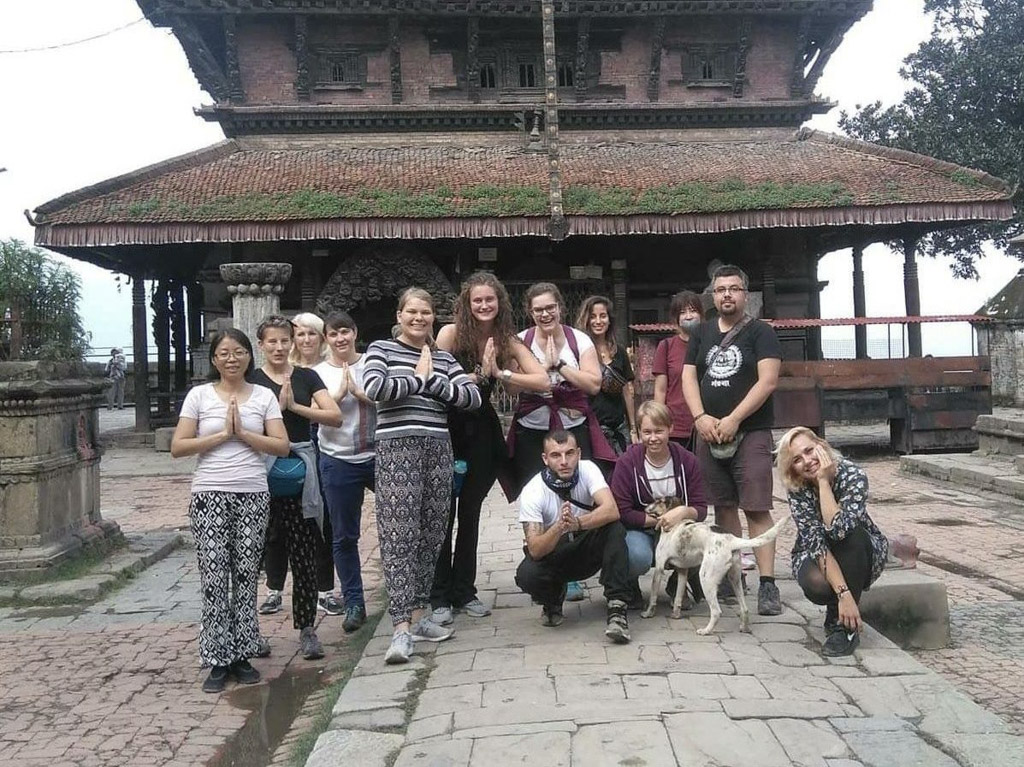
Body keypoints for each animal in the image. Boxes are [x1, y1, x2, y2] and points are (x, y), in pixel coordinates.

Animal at [638, 499, 790, 630]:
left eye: (658, 500)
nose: (645, 506)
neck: (676, 523)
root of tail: (732, 539)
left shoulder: (659, 568)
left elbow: (653, 598)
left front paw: (647, 614)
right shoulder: (682, 570)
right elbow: (678, 598)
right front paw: (675, 615)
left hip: (706, 578)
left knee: (717, 611)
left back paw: (705, 631)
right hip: (735, 579)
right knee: (744, 608)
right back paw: (743, 628)